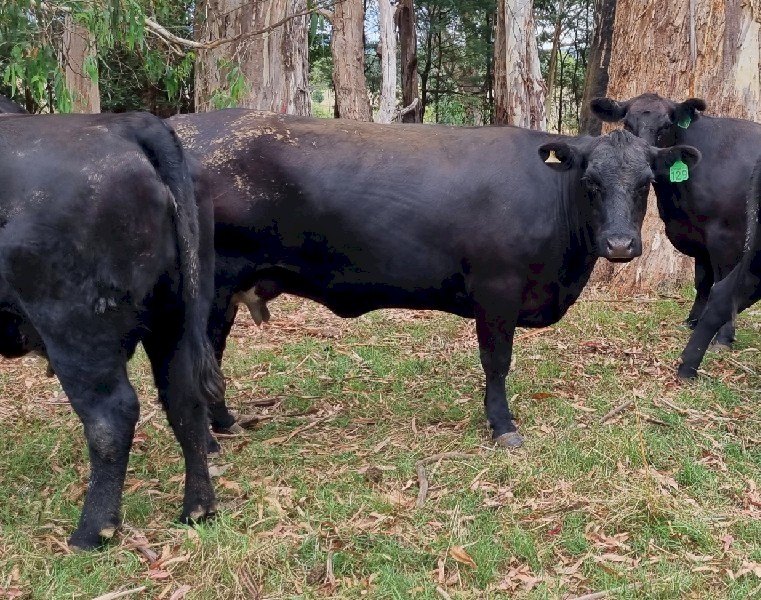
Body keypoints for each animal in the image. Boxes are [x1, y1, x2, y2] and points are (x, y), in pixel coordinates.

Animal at [0, 112, 223, 550]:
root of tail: (129, 123)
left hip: (73, 327)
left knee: (111, 416)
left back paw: (92, 530)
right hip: (176, 316)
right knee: (185, 399)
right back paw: (197, 508)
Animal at [167, 110, 700, 448]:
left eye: (646, 183)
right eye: (590, 182)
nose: (620, 245)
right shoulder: (497, 290)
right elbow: (497, 362)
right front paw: (502, 425)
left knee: (213, 351)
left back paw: (224, 422)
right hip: (209, 286)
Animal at [590, 93, 759, 349]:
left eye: (666, 126)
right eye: (627, 125)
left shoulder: (726, 234)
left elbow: (723, 281)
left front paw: (723, 337)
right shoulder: (699, 234)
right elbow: (702, 280)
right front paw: (693, 321)